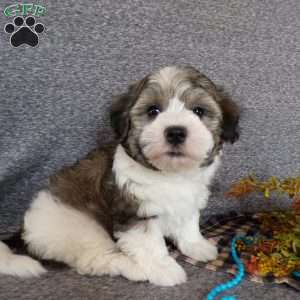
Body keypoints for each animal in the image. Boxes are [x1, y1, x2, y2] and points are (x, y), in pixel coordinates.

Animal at [0, 65, 239, 286]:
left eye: (199, 111)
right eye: (153, 111)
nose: (175, 132)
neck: (169, 174)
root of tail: (24, 231)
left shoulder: (190, 199)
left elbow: (189, 223)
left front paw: (196, 245)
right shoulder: (134, 210)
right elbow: (150, 243)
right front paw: (164, 269)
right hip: (81, 228)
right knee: (93, 259)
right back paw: (131, 267)